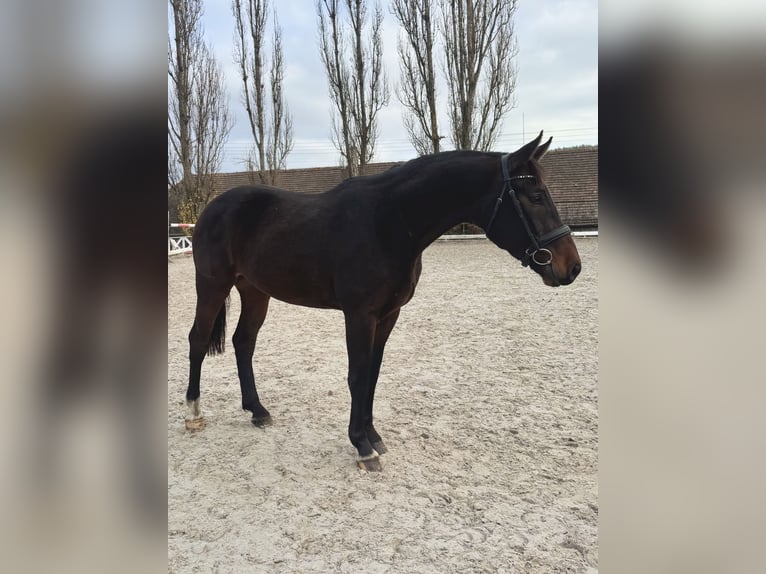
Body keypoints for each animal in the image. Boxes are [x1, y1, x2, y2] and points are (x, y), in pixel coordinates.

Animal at [184, 132, 582, 471]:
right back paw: (193, 413)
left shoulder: (389, 315)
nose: (572, 267)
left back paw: (257, 411)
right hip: (212, 285)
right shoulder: (360, 315)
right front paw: (361, 446)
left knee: (243, 342)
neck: (390, 221)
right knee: (198, 340)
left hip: (255, 291)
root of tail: (212, 208)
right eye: (535, 196)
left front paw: (373, 436)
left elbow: (373, 374)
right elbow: (358, 375)